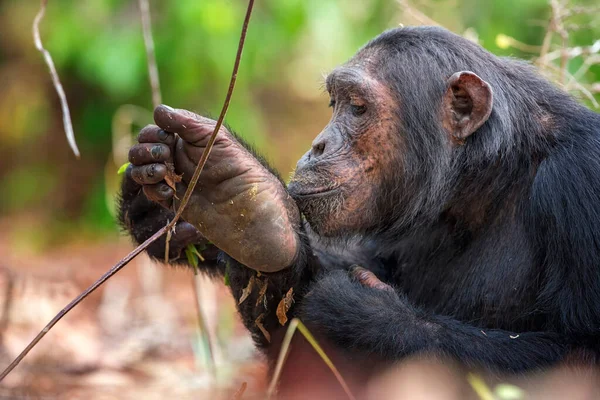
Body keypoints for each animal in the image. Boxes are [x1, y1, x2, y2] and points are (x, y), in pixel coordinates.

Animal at [118, 25, 600, 396]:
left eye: (358, 107)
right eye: (335, 103)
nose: (319, 144)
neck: (484, 179)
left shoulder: (579, 180)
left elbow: (578, 360)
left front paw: (366, 313)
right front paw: (220, 207)